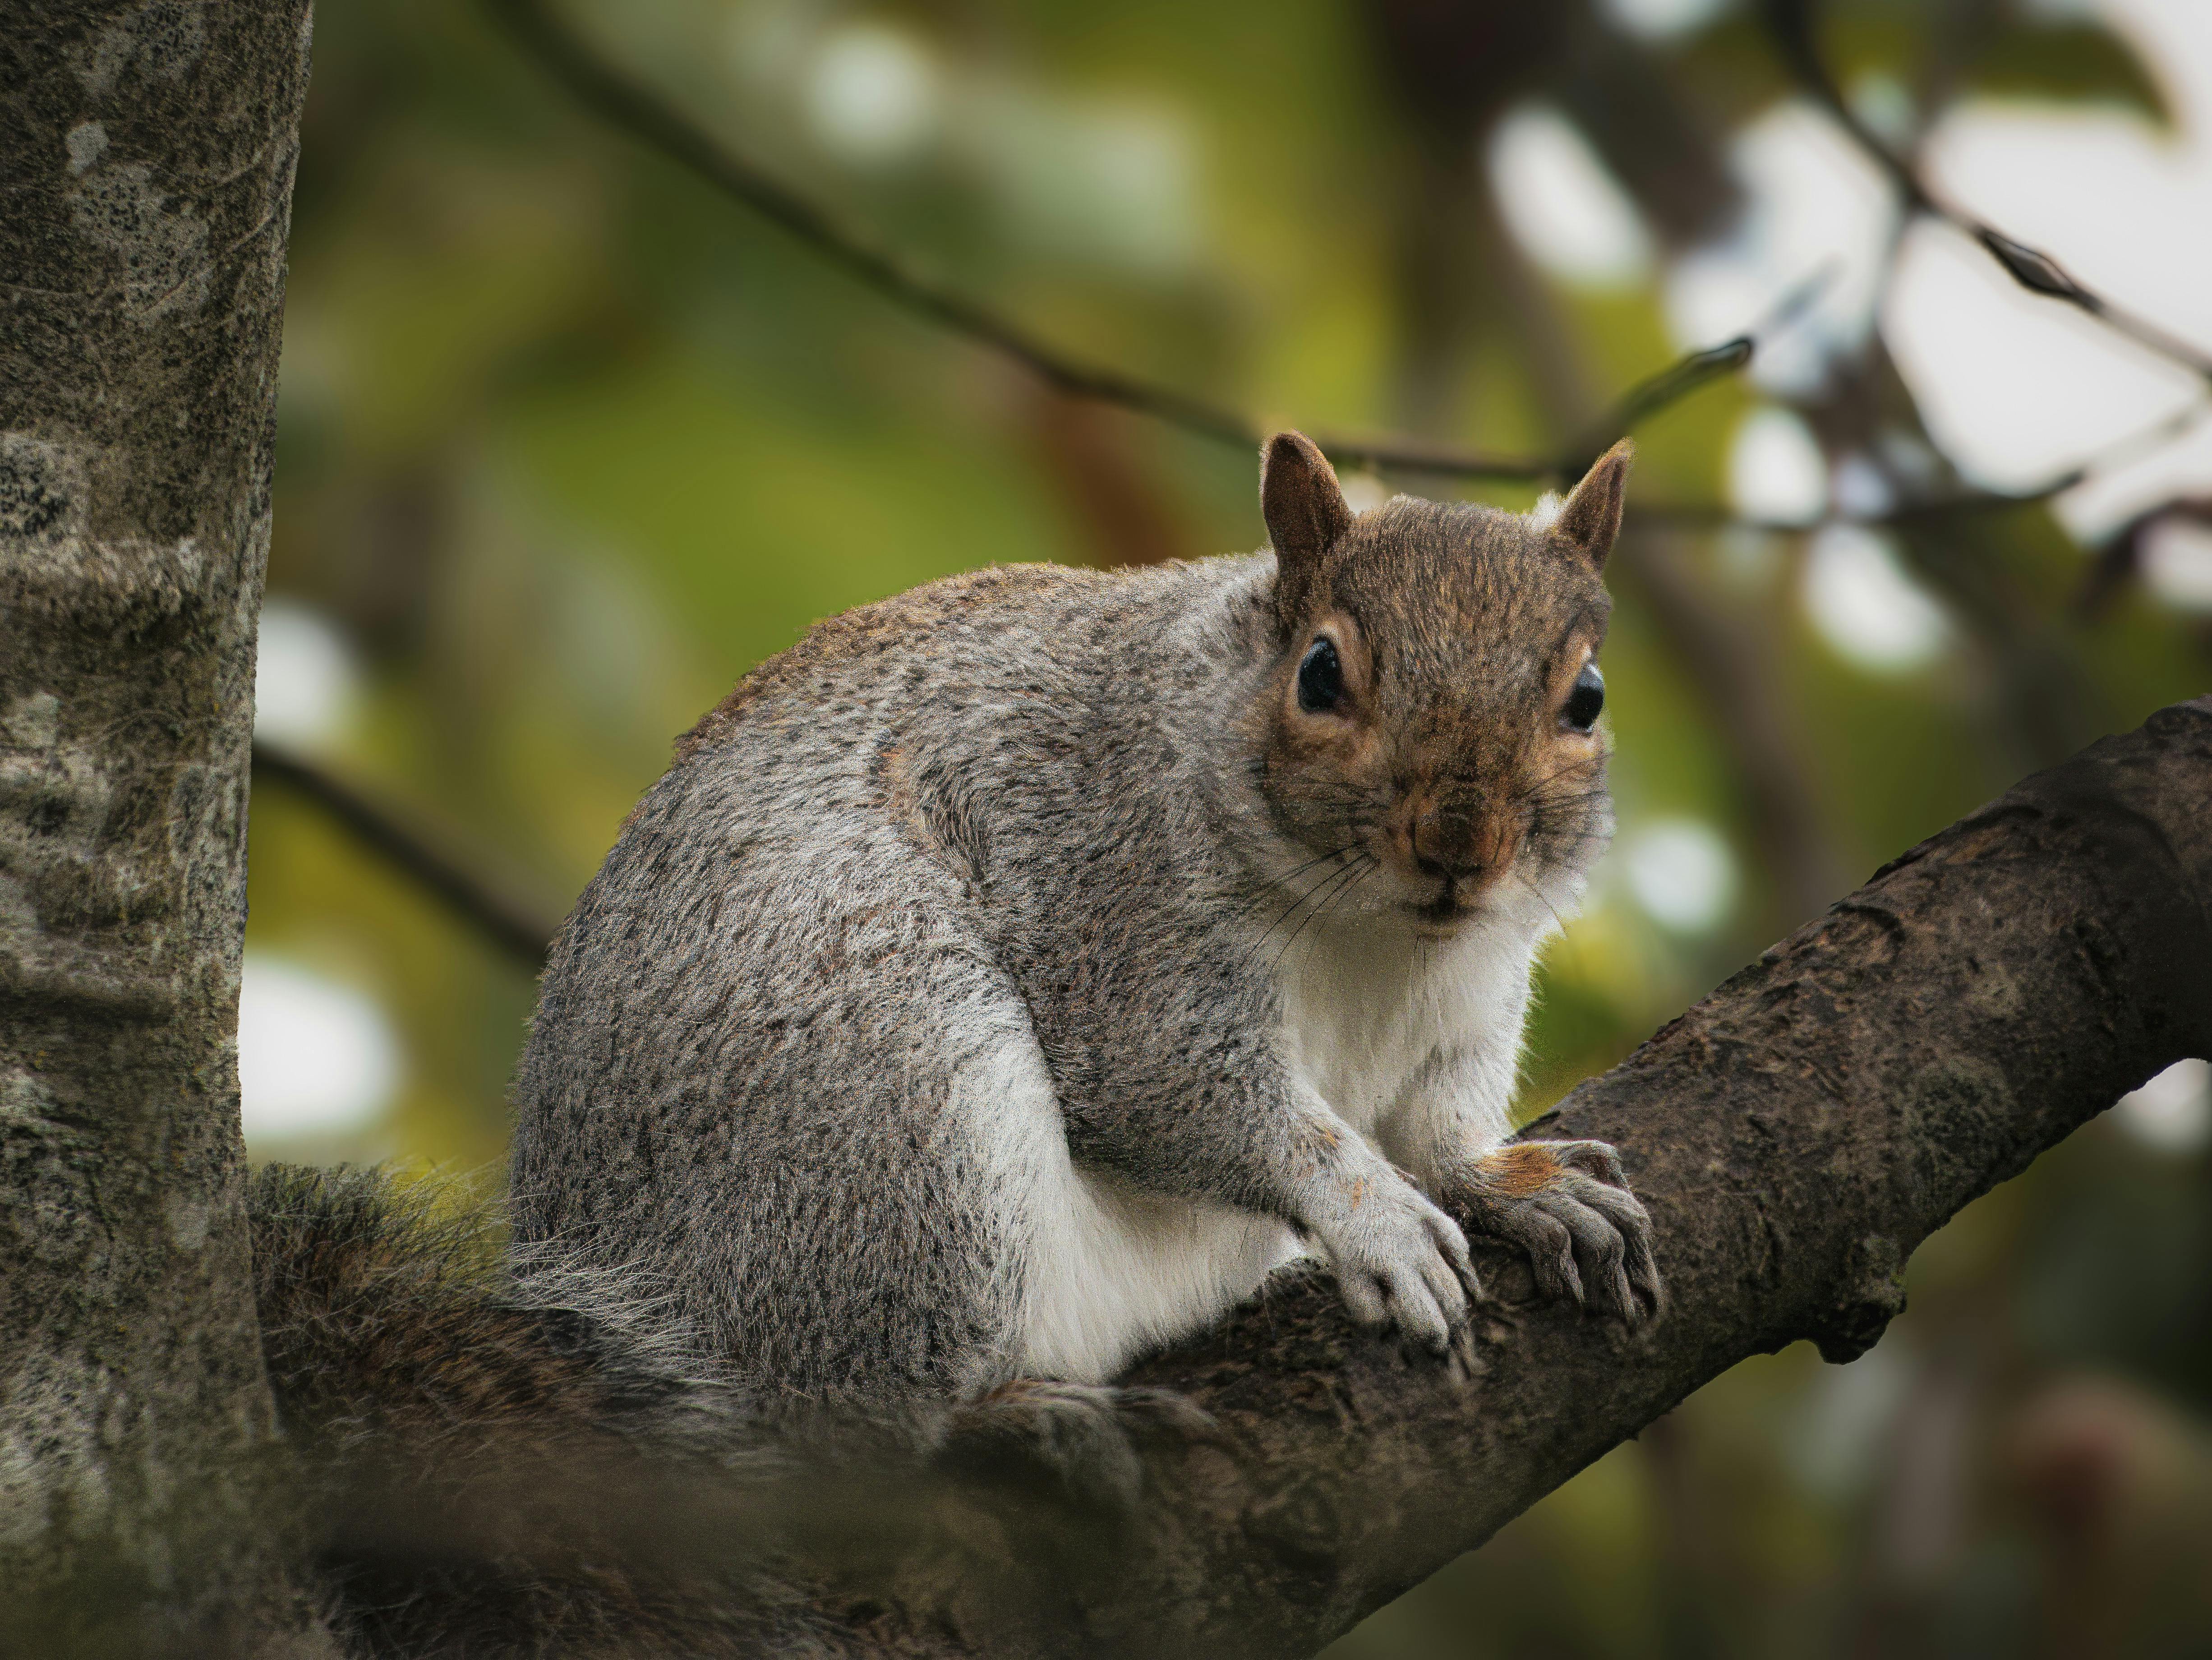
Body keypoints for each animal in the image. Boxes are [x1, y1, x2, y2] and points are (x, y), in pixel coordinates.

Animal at [507, 436, 1663, 1407]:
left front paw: (1513, 1181)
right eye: (1320, 673)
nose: (1458, 844)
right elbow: (1186, 1089)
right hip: (882, 1091)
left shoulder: (1470, 995)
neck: (1379, 938)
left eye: (1589, 698)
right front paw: (1372, 1216)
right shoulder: (1115, 893)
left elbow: (1437, 1121)